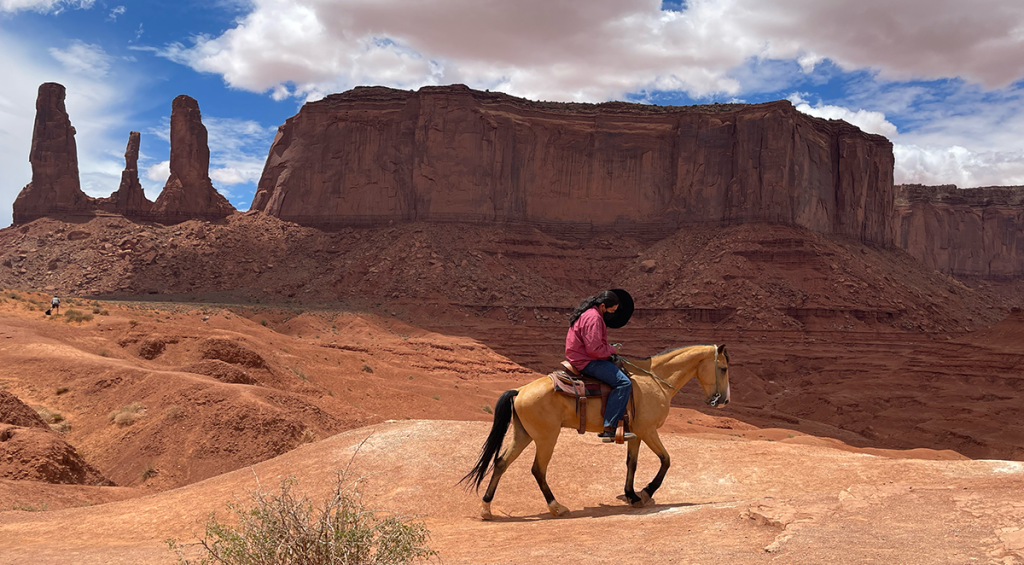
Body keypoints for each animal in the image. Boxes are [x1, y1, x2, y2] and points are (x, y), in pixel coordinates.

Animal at [460, 341, 733, 517]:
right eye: (723, 368)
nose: (724, 400)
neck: (655, 380)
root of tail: (519, 391)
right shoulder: (648, 431)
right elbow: (666, 460)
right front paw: (646, 492)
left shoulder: (636, 434)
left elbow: (632, 464)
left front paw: (632, 495)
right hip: (546, 437)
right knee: (538, 469)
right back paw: (556, 506)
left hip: (523, 434)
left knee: (501, 463)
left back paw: (486, 508)